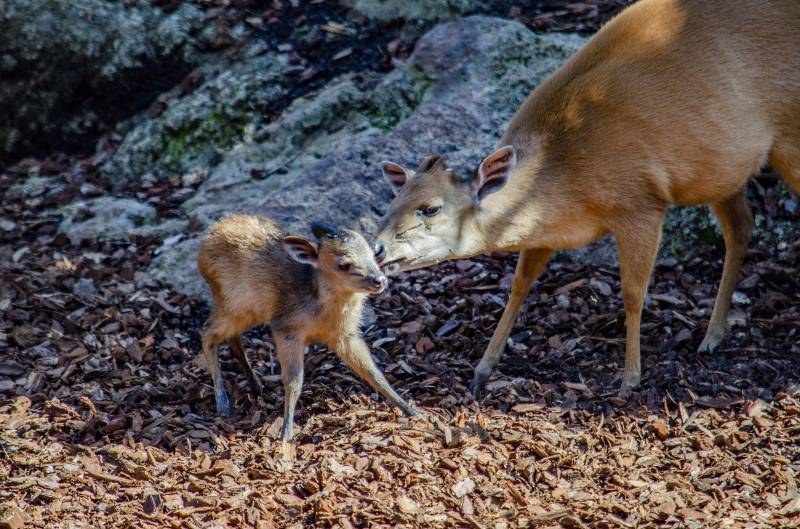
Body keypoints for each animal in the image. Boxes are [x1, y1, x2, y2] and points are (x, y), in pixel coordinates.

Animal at [198, 214, 418, 442]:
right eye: (344, 264)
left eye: (373, 254)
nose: (380, 280)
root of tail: (207, 240)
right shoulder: (287, 329)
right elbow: (294, 381)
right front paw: (286, 433)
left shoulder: (345, 336)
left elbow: (373, 372)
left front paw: (412, 411)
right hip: (231, 305)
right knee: (207, 334)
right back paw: (223, 403)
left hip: (244, 311)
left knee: (232, 339)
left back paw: (255, 385)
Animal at [374, 0, 800, 396]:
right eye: (391, 202)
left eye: (430, 208)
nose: (376, 249)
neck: (562, 173)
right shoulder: (547, 231)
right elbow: (520, 283)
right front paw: (482, 369)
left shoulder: (641, 203)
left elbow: (633, 293)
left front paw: (630, 378)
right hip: (722, 172)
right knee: (742, 227)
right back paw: (713, 336)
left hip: (787, 135)